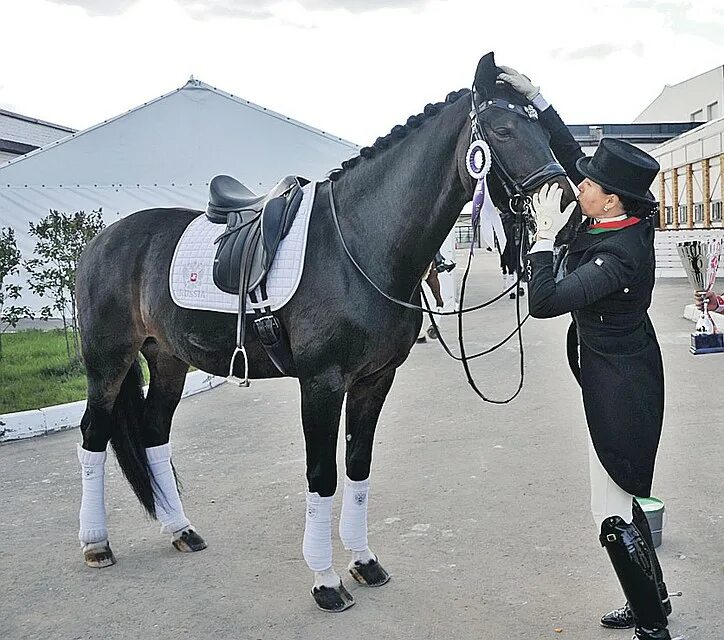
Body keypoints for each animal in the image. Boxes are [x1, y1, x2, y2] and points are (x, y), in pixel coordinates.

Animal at [73, 53, 576, 608]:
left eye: (543, 129)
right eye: (504, 130)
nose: (565, 200)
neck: (358, 242)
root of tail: (101, 240)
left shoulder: (374, 380)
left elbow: (357, 467)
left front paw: (363, 561)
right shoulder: (321, 383)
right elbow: (322, 475)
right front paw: (325, 579)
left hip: (167, 359)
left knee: (154, 433)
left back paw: (181, 529)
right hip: (108, 362)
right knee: (93, 437)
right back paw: (96, 544)